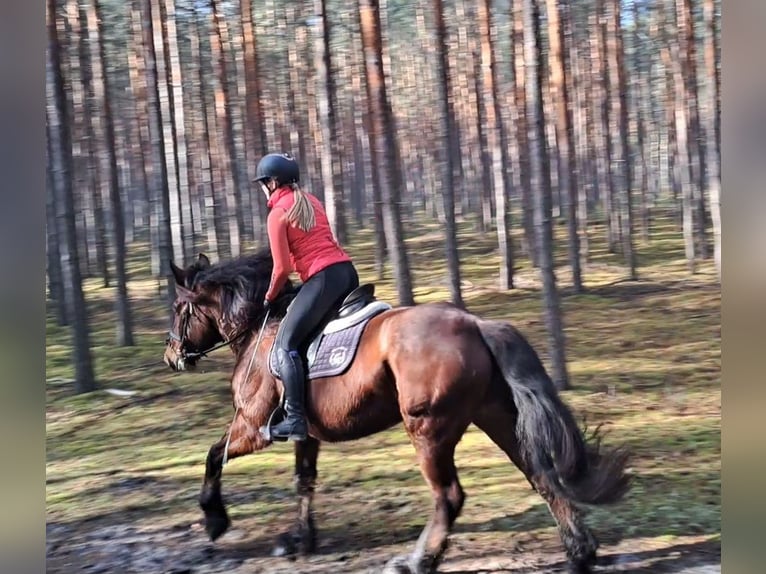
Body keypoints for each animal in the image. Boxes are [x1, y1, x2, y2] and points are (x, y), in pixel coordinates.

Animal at [162, 252, 632, 574]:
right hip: (496, 416)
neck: (260, 329)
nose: (171, 357)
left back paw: (417, 561)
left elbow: (213, 456)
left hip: (428, 430)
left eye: (179, 309)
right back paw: (580, 552)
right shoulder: (305, 433)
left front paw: (215, 519)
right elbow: (303, 481)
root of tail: (476, 324)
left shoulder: (253, 427)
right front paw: (300, 538)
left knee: (450, 497)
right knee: (541, 476)